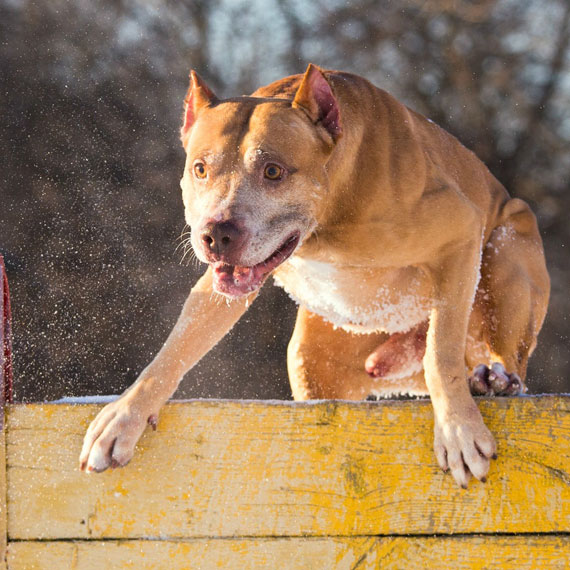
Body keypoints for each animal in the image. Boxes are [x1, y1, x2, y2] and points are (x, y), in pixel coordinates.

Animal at [79, 64, 544, 486]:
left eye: (273, 171)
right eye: (200, 169)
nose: (216, 234)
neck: (326, 220)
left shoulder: (459, 233)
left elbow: (441, 350)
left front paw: (458, 431)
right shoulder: (220, 288)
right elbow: (177, 347)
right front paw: (124, 416)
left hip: (507, 254)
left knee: (500, 353)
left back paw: (494, 382)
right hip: (312, 360)